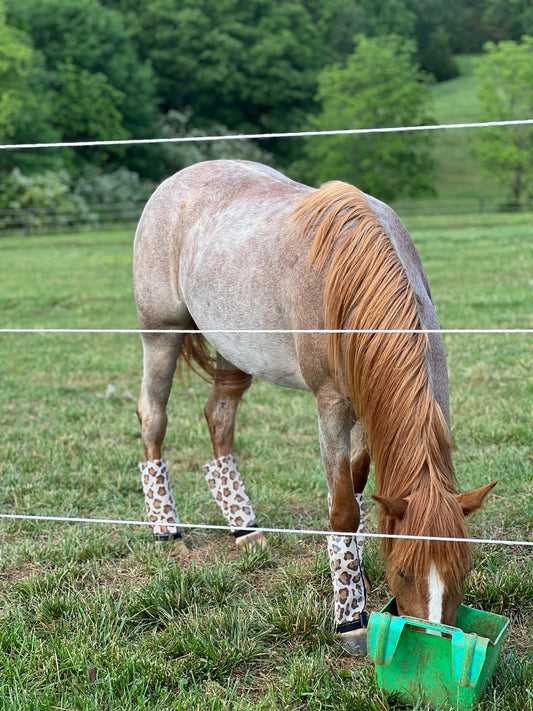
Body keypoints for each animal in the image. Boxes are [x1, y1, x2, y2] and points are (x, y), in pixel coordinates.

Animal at [132, 161, 494, 656]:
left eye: (463, 569)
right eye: (403, 571)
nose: (432, 640)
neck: (353, 280)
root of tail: (177, 180)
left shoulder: (365, 410)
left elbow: (357, 492)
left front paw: (355, 582)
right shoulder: (333, 405)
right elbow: (343, 509)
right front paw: (350, 619)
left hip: (232, 348)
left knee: (218, 416)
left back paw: (244, 528)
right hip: (160, 333)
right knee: (153, 415)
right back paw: (167, 531)